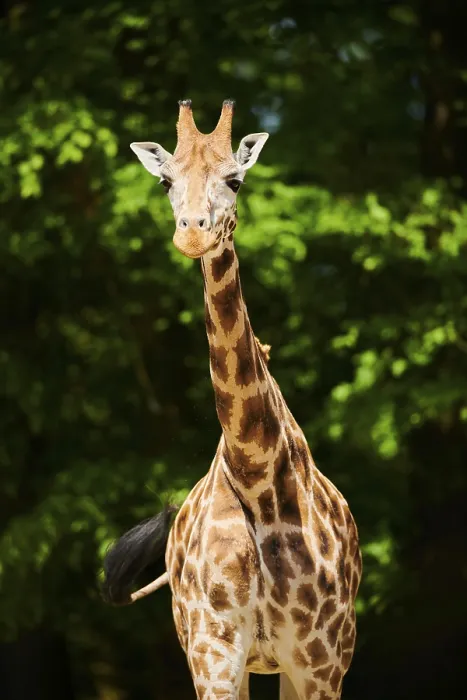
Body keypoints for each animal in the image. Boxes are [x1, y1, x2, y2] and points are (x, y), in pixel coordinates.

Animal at [102, 100, 362, 700]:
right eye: (167, 182)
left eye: (235, 180)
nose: (193, 236)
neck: (256, 473)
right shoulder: (213, 654)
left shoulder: (319, 663)